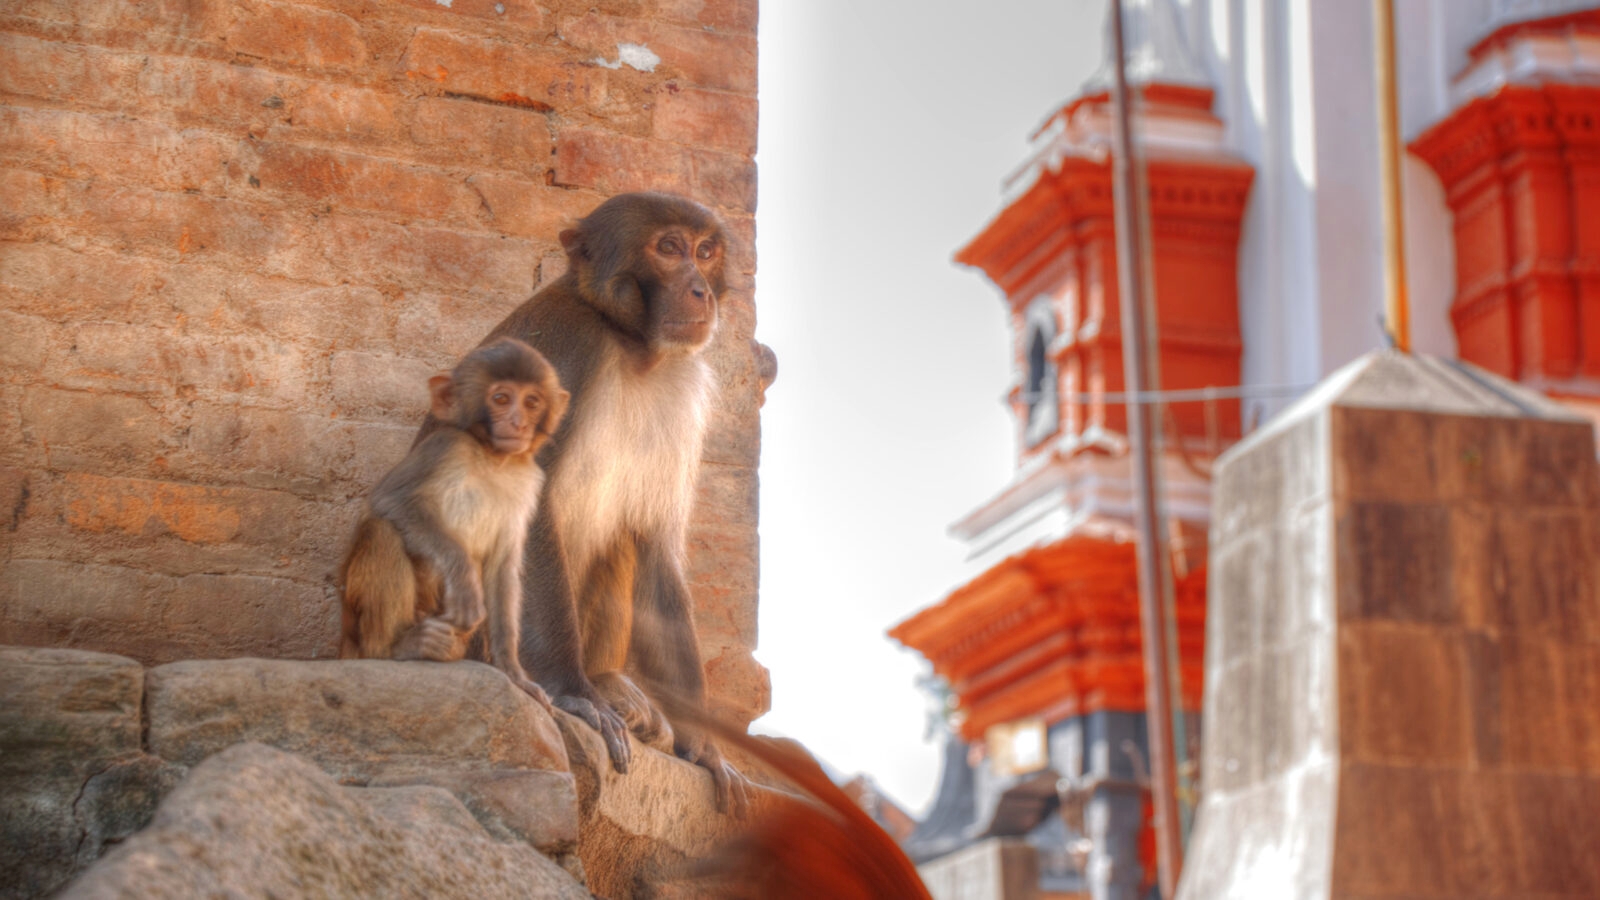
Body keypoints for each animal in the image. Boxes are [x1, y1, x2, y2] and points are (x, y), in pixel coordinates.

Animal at [339, 337, 569, 711]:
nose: (519, 423)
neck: (493, 458)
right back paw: (393, 648)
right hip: (354, 628)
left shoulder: (529, 481)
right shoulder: (445, 447)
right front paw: (465, 582)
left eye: (532, 402)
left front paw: (514, 673)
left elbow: (502, 569)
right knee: (381, 531)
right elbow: (391, 500)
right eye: (501, 398)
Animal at [438, 192, 751, 816]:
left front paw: (705, 747)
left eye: (706, 252)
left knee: (622, 540)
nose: (701, 290)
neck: (629, 343)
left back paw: (609, 680)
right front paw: (572, 694)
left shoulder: (680, 387)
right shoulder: (567, 351)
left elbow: (654, 544)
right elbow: (528, 511)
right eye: (669, 247)